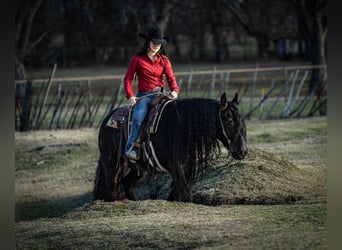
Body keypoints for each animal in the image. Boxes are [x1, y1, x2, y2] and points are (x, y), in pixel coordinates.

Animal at [93, 93, 247, 202]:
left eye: (241, 119)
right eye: (229, 119)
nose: (242, 151)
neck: (183, 126)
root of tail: (107, 119)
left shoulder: (185, 168)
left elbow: (176, 194)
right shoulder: (176, 167)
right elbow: (185, 194)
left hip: (138, 168)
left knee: (127, 184)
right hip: (112, 164)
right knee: (112, 190)